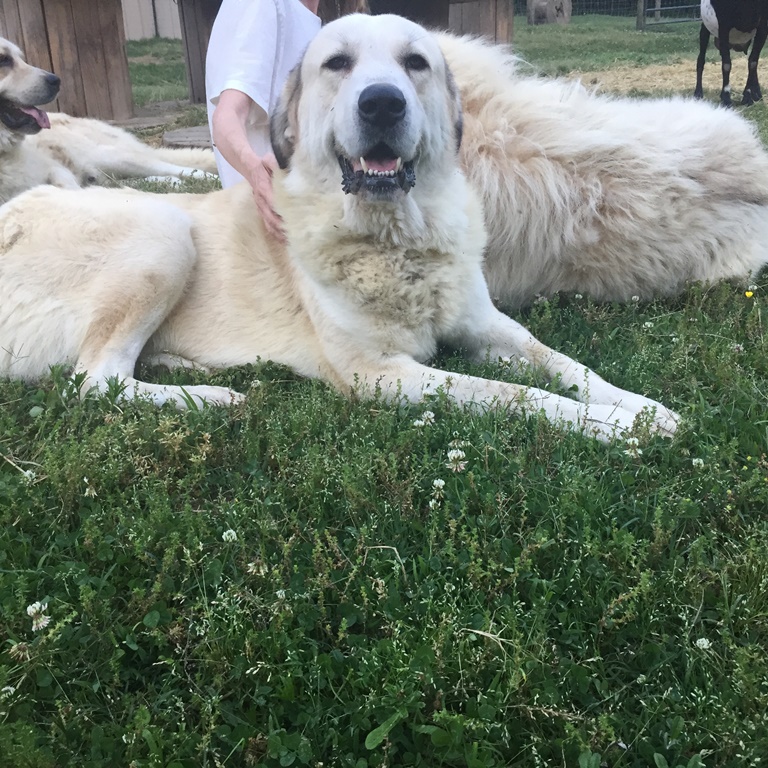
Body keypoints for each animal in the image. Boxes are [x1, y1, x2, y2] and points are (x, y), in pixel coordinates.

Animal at [0, 15, 680, 440]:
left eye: (415, 63)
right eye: (337, 64)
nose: (382, 102)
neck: (397, 239)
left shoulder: (488, 327)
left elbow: (566, 364)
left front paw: (641, 408)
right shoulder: (378, 374)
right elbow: (511, 394)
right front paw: (610, 427)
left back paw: (190, 369)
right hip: (164, 229)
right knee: (95, 381)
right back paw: (214, 399)